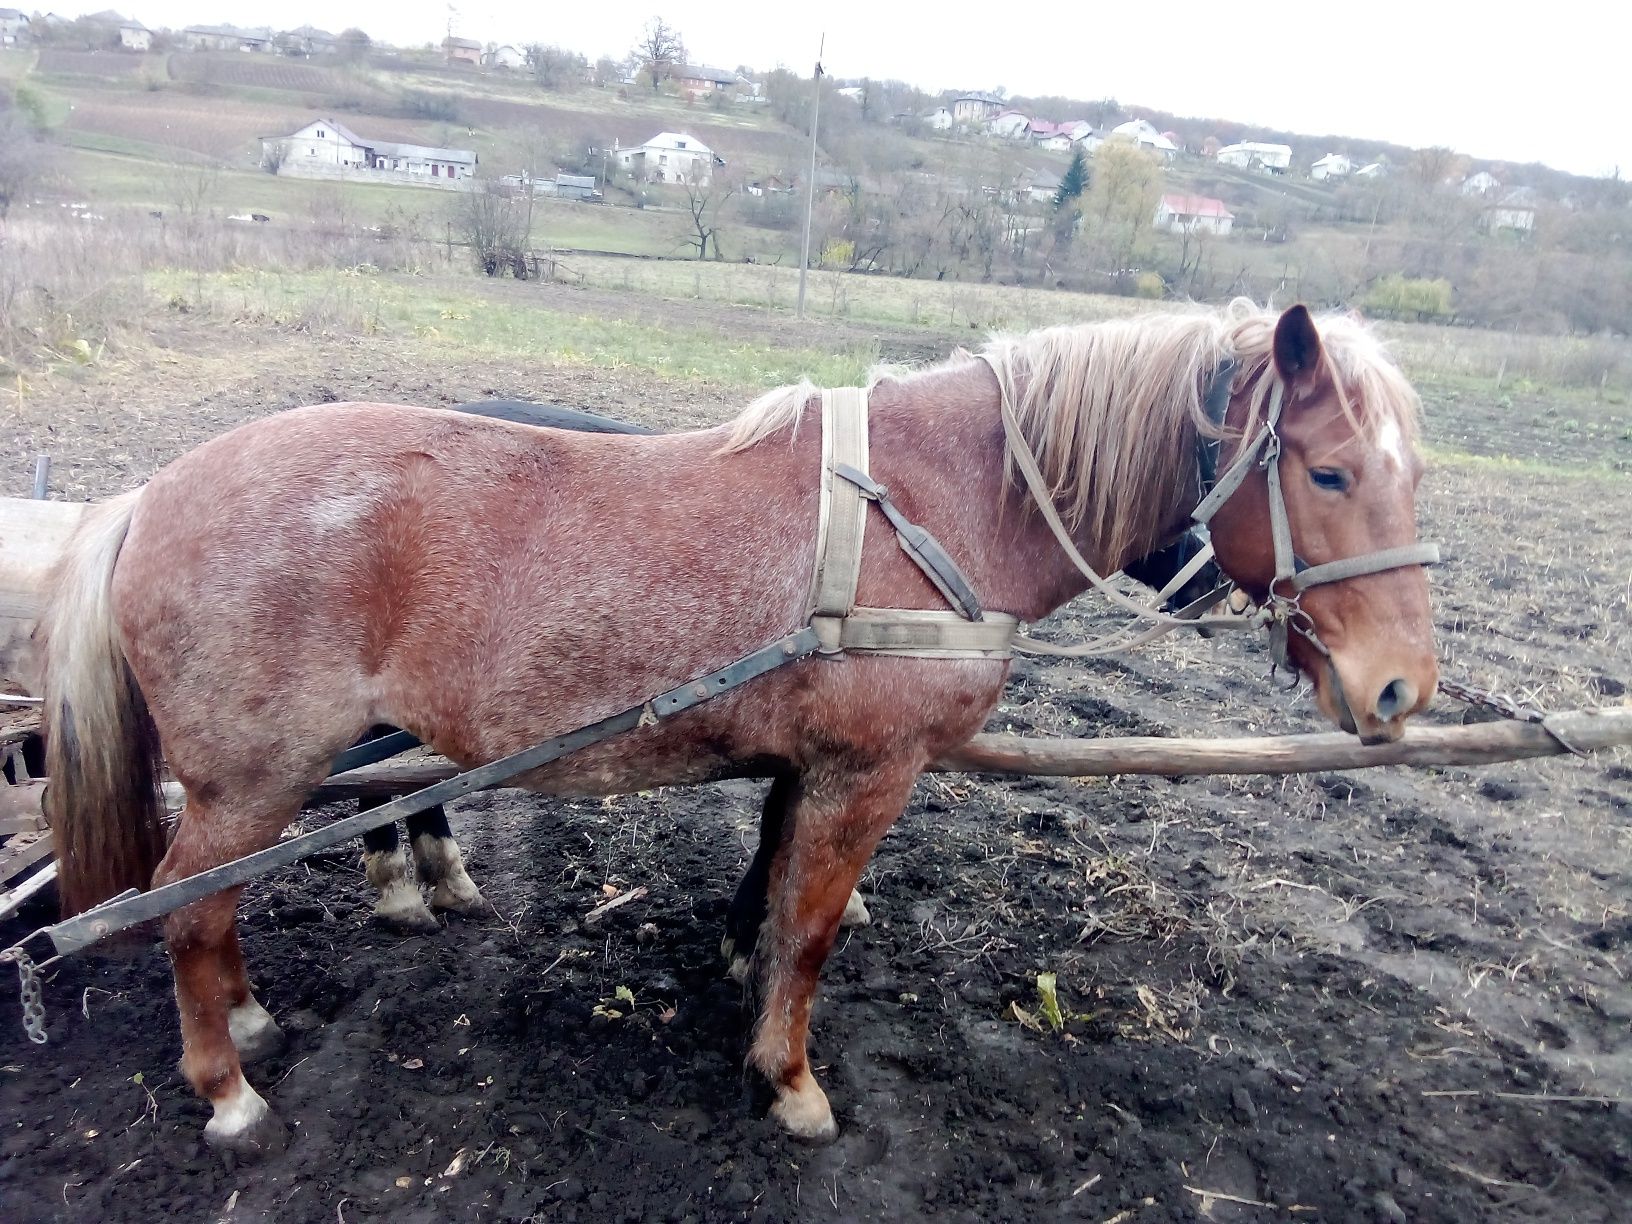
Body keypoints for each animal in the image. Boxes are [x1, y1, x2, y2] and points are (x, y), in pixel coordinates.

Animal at [41, 301, 1442, 1155]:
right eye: (1327, 473)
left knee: (205, 906)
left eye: (1408, 475)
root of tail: (151, 494)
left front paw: (741, 985)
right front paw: (791, 1078)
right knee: (188, 907)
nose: (1400, 690)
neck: (933, 502)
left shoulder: (803, 765)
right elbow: (811, 929)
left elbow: (770, 894)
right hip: (252, 780)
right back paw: (227, 1087)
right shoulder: (867, 773)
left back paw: (246, 1021)